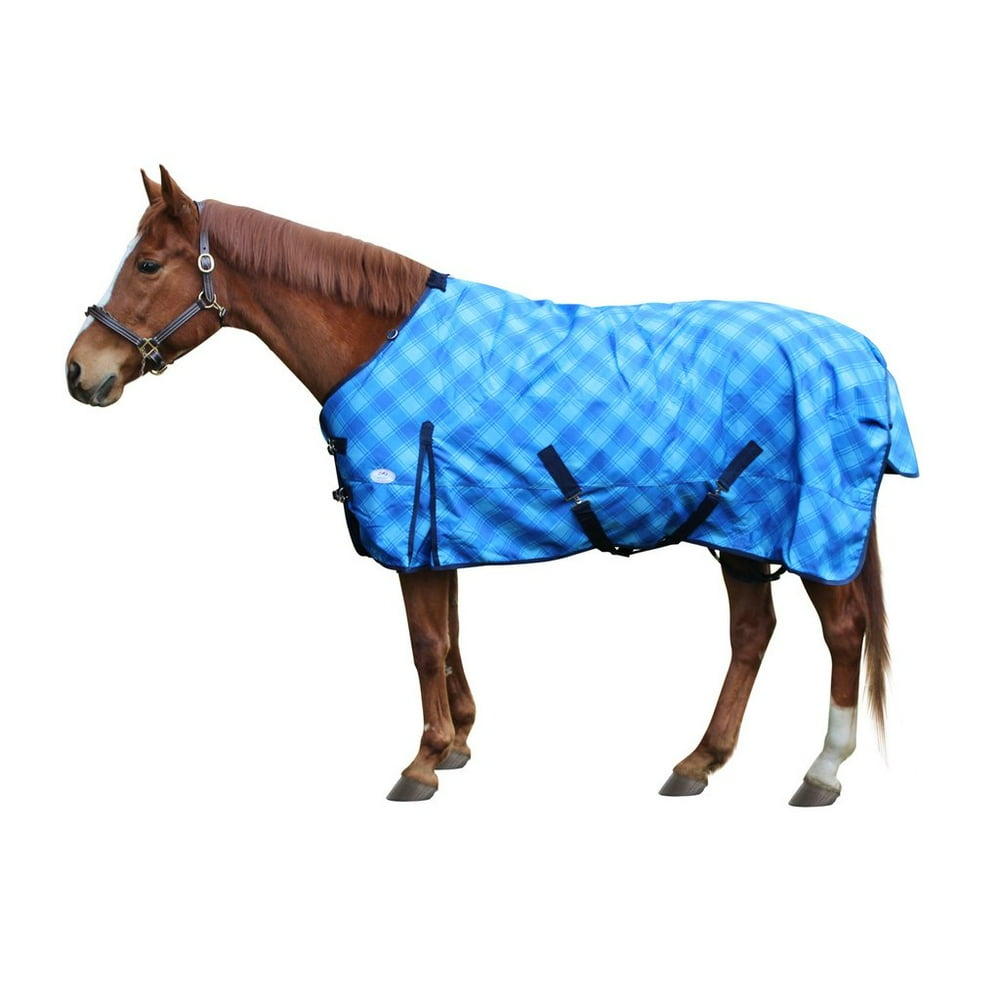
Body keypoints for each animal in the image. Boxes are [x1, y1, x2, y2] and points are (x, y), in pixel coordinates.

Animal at [66, 167, 917, 806]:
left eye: (148, 264)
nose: (80, 371)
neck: (380, 342)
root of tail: (864, 352)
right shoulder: (440, 525)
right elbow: (449, 635)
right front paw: (459, 741)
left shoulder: (412, 525)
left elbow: (424, 643)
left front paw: (422, 761)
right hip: (736, 528)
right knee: (751, 634)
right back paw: (699, 762)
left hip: (804, 529)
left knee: (843, 633)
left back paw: (822, 772)